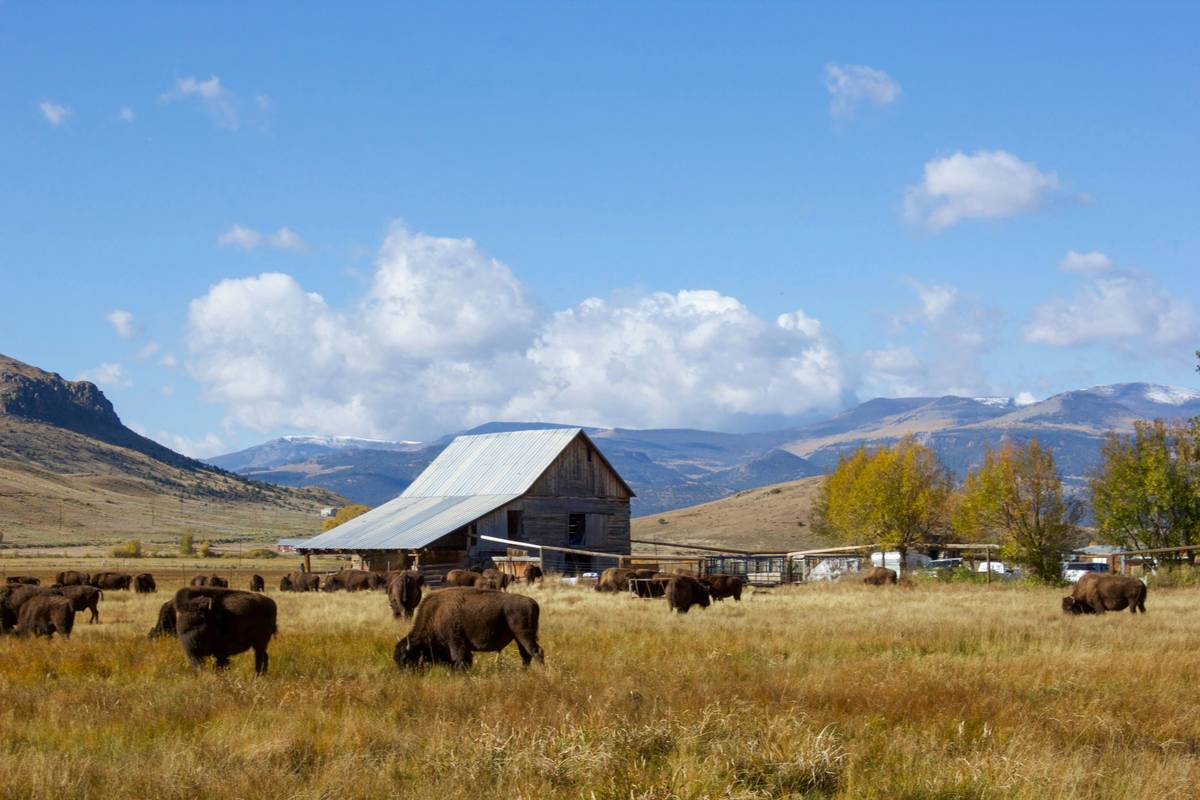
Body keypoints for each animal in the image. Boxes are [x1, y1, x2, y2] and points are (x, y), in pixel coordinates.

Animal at [394, 587, 544, 670]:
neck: (436, 613)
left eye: (406, 659)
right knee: (526, 656)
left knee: (536, 652)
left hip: (524, 636)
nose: (404, 675)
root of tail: (532, 602)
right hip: (518, 638)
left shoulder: (456, 643)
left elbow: (458, 660)